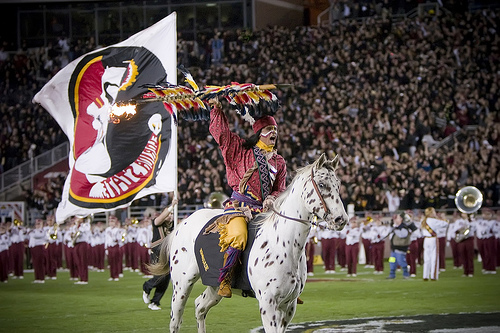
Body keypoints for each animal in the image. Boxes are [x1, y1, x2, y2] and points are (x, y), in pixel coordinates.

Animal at [152, 154, 348, 332]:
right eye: (321, 184)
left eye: (338, 185)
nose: (341, 219)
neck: (284, 244)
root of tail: (182, 223)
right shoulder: (268, 305)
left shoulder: (289, 306)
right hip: (181, 286)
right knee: (175, 321)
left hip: (214, 288)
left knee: (200, 307)